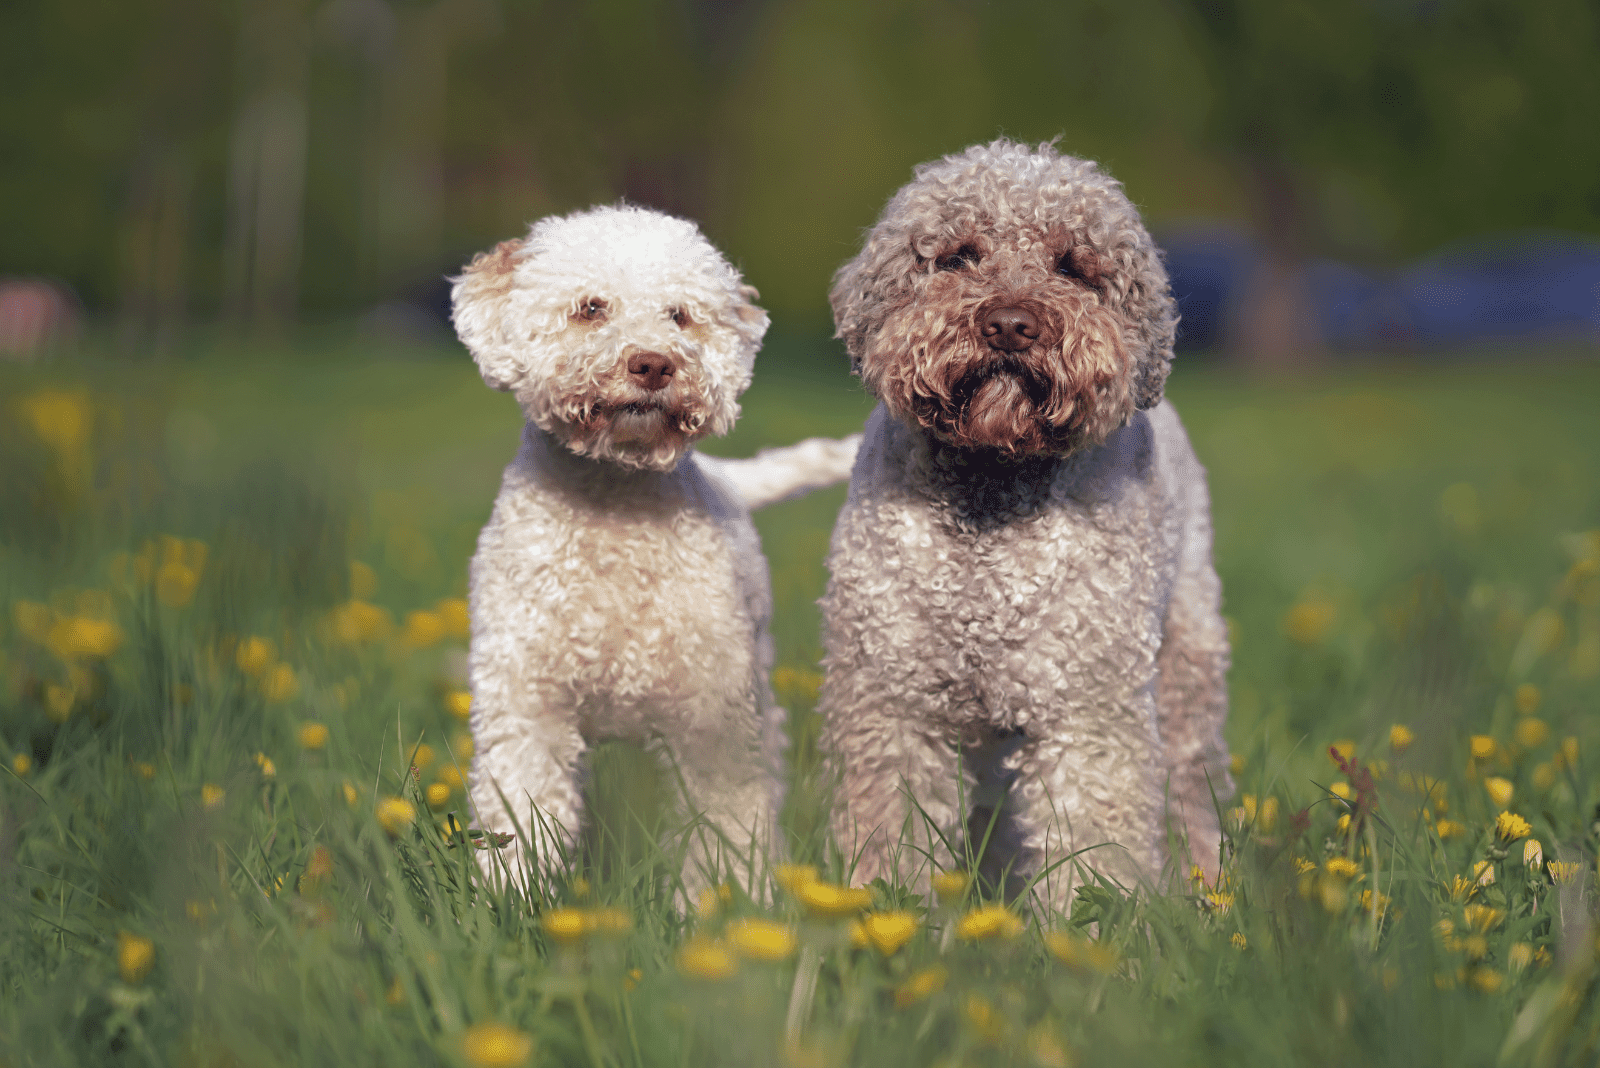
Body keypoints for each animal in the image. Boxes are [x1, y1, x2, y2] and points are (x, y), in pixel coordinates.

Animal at [451, 204, 864, 895]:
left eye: (680, 315)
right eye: (591, 308)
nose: (652, 364)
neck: (616, 507)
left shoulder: (713, 716)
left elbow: (729, 824)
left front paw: (732, 902)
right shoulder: (528, 700)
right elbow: (521, 810)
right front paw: (512, 896)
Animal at [819, 141, 1228, 908]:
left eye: (1073, 265)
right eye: (956, 255)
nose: (1010, 323)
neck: (991, 503)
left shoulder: (1086, 709)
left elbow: (1094, 838)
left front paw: (1089, 925)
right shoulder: (893, 702)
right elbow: (892, 829)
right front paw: (885, 908)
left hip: (1186, 668)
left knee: (1195, 790)